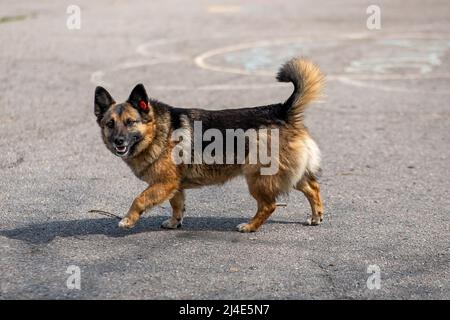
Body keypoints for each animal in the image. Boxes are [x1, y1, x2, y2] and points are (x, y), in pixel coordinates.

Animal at [94, 57, 324, 232]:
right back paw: (316, 216)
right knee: (312, 187)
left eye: (130, 122)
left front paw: (128, 219)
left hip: (258, 177)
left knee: (269, 205)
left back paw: (250, 226)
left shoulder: (163, 184)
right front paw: (175, 222)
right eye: (110, 124)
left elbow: (140, 199)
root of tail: (282, 110)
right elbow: (177, 205)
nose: (118, 141)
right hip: (289, 173)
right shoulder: (174, 186)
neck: (158, 131)